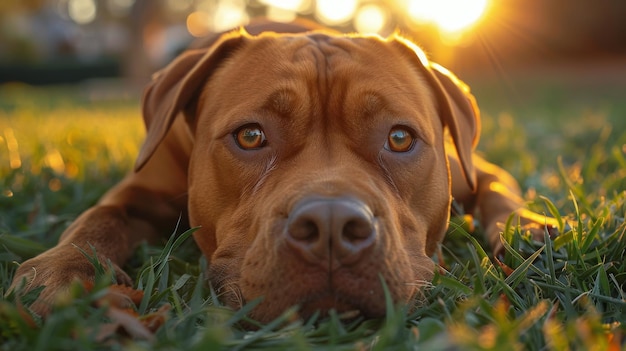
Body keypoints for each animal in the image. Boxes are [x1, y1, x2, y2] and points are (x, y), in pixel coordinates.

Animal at [8, 20, 556, 324]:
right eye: (250, 136)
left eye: (400, 139)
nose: (332, 227)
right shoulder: (136, 191)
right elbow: (97, 219)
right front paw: (60, 273)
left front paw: (524, 227)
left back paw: (529, 229)